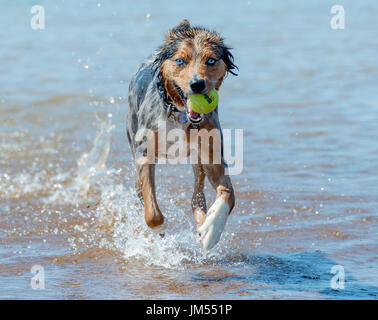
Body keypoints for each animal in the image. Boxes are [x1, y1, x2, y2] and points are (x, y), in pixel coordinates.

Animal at [127, 18, 239, 251]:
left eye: (211, 60)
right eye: (180, 60)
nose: (197, 84)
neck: (180, 116)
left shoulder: (213, 155)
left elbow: (228, 193)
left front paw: (210, 231)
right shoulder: (144, 154)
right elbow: (152, 213)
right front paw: (160, 229)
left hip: (198, 159)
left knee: (197, 195)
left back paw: (202, 219)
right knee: (141, 194)